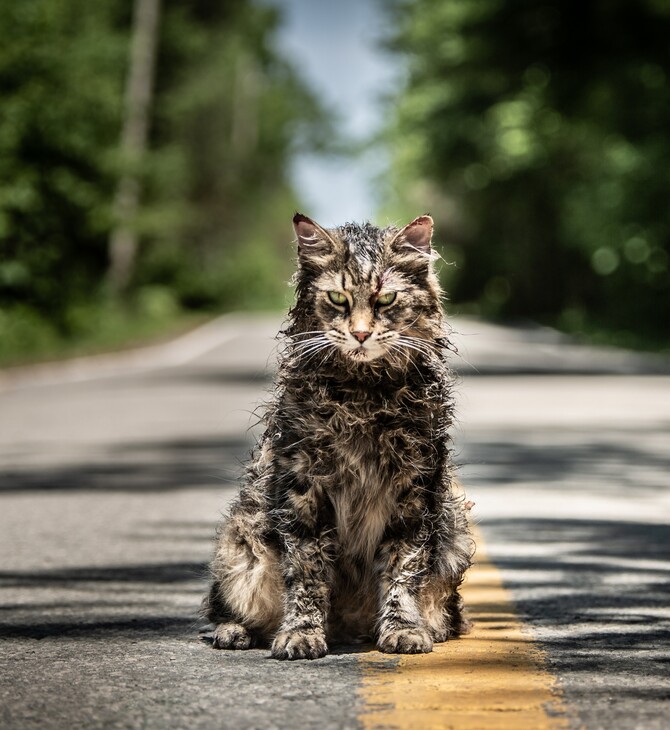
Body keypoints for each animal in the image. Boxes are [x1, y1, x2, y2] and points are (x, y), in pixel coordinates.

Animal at [202, 212, 476, 660]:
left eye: (385, 301)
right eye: (337, 299)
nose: (361, 334)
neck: (363, 396)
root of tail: (348, 628)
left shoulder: (415, 490)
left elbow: (403, 569)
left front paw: (403, 629)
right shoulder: (303, 489)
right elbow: (308, 573)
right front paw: (301, 634)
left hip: (455, 530)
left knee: (445, 612)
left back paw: (427, 628)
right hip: (241, 541)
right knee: (226, 607)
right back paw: (235, 631)